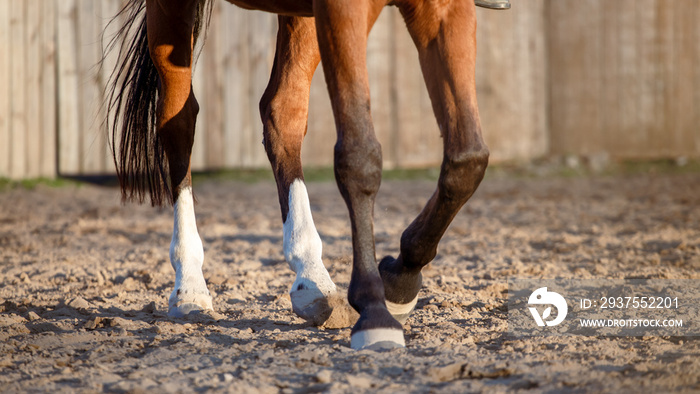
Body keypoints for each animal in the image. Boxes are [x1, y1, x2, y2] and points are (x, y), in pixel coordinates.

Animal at [105, 0, 486, 350]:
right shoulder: (342, 9)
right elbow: (359, 157)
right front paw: (375, 311)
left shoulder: (446, 9)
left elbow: (468, 159)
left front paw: (400, 279)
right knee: (178, 122)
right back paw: (189, 285)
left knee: (281, 110)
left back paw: (311, 275)